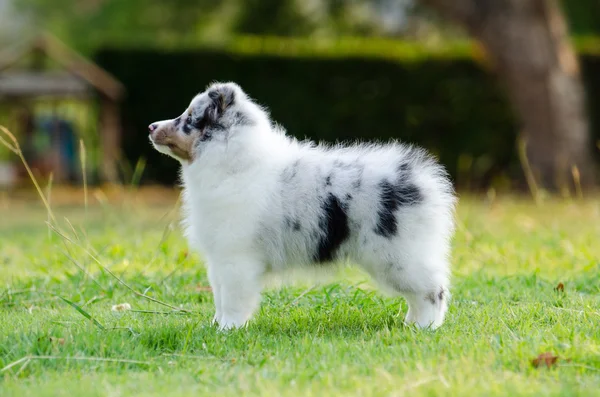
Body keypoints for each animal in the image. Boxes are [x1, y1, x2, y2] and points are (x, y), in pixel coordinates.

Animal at [150, 82, 454, 330]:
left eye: (190, 118)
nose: (151, 127)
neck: (235, 163)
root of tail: (421, 179)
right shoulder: (219, 259)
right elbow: (220, 296)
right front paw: (216, 325)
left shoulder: (237, 258)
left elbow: (234, 299)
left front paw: (229, 329)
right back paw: (411, 323)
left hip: (399, 256)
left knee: (432, 290)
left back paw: (425, 326)